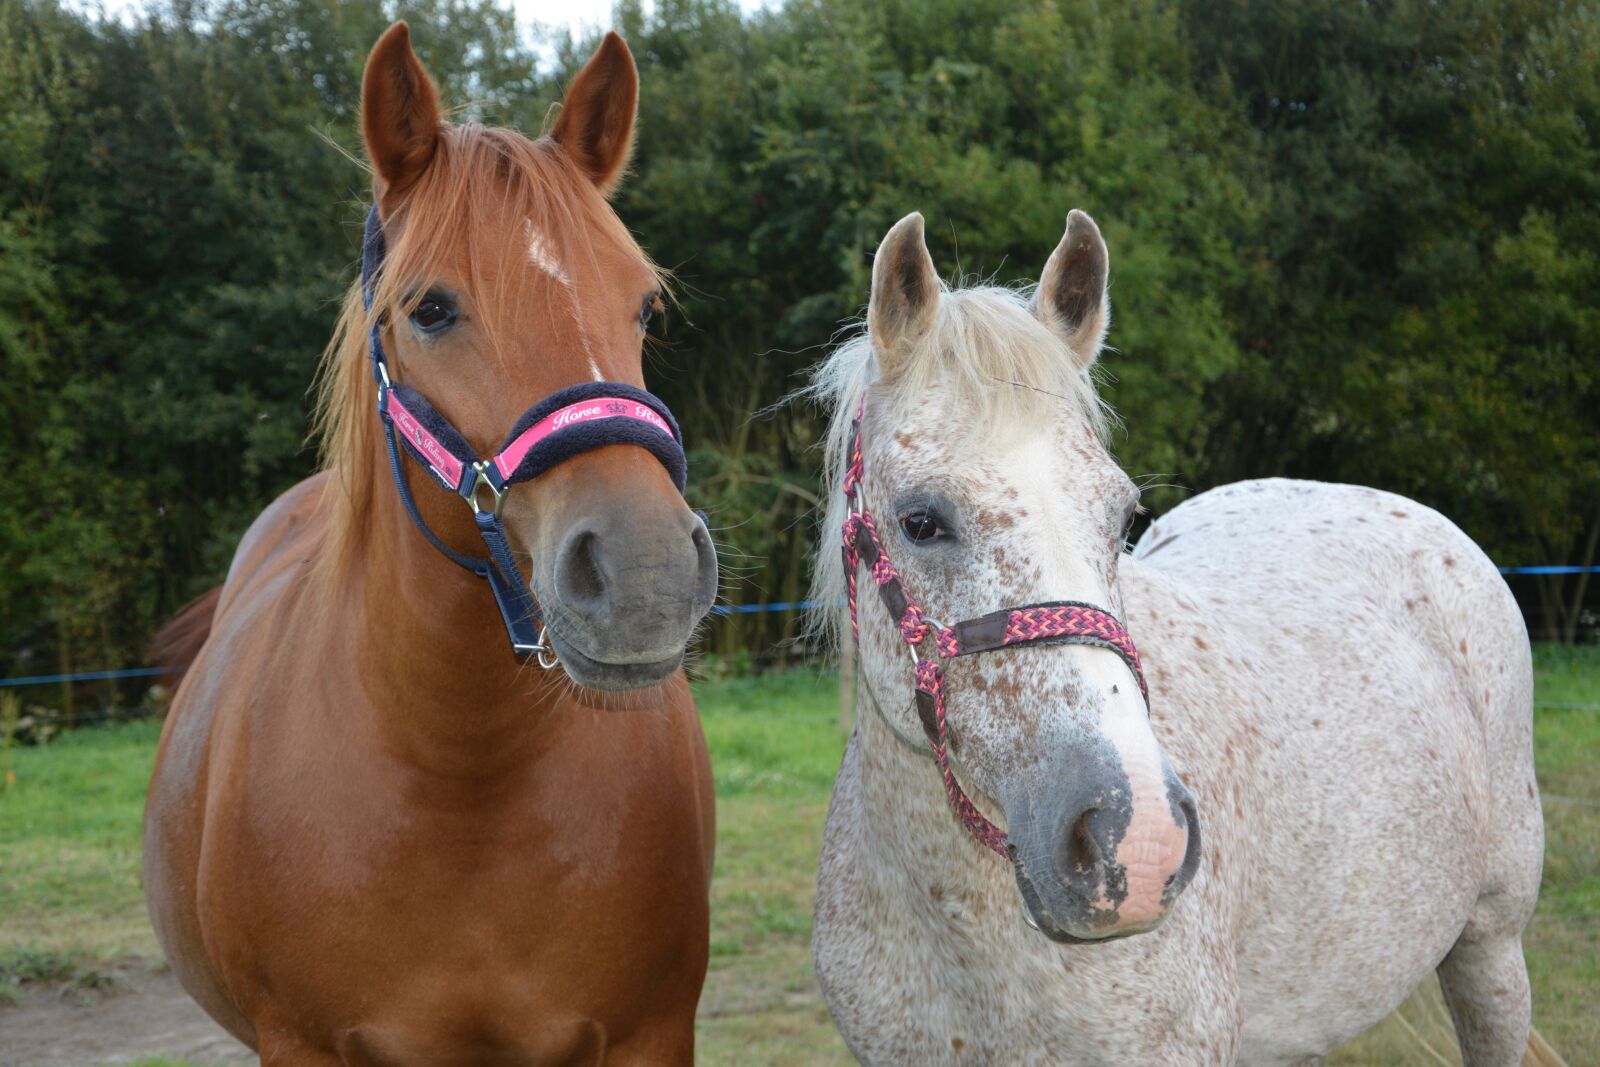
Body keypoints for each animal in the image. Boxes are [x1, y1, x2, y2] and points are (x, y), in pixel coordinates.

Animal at [144, 24, 718, 1064]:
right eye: (432, 308)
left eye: (645, 306)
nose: (647, 574)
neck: (463, 781)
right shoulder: (298, 1041)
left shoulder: (652, 1032)